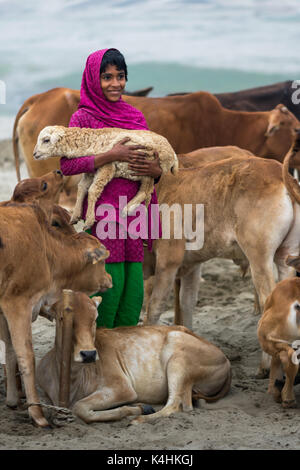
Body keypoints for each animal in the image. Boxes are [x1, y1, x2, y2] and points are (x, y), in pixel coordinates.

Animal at [32, 126, 178, 230]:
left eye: (46, 140)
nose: (34, 154)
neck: (90, 143)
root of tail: (173, 155)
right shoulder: (91, 170)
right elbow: (81, 188)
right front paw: (75, 215)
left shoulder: (107, 167)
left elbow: (93, 190)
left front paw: (89, 220)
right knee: (147, 194)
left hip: (148, 167)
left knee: (146, 191)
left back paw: (128, 209)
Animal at [36, 290, 231, 426]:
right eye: (62, 318)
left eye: (95, 318)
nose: (89, 354)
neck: (71, 379)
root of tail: (227, 361)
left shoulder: (122, 387)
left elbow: (80, 408)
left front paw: (138, 409)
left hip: (178, 360)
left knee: (177, 405)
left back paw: (139, 419)